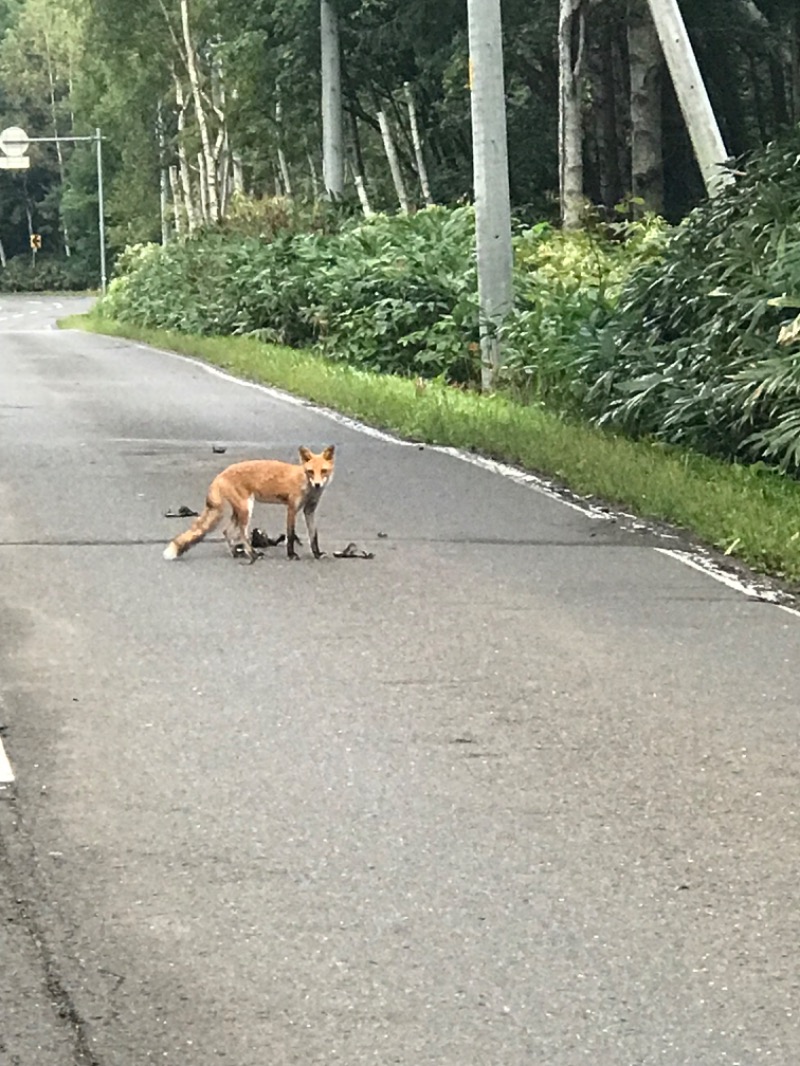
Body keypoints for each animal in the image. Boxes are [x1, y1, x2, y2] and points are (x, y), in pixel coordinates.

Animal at [164, 445, 337, 562]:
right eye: (310, 472)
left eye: (323, 471)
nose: (317, 485)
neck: (306, 485)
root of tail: (221, 474)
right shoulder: (292, 508)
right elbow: (290, 534)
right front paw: (291, 555)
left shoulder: (309, 510)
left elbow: (313, 535)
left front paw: (317, 554)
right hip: (246, 509)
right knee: (242, 533)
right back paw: (252, 554)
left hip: (239, 511)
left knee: (227, 531)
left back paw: (236, 553)